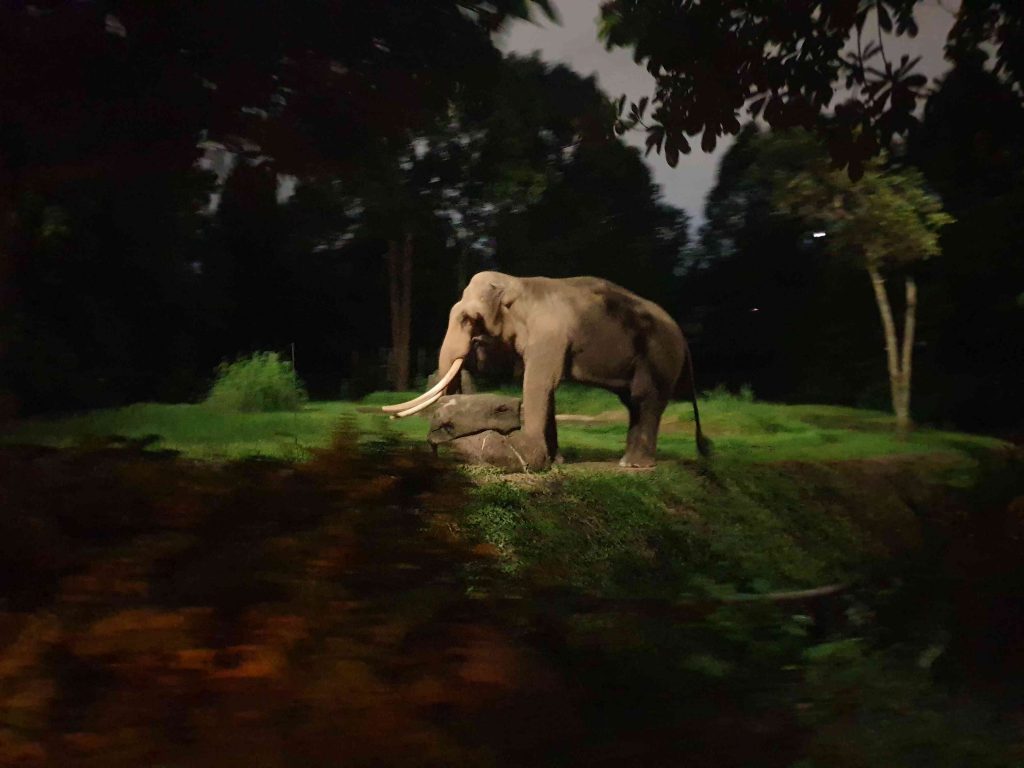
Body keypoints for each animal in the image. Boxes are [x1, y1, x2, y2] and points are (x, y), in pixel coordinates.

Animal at [382, 271, 710, 470]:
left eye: (469, 320)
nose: (435, 449)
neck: (517, 282)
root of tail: (683, 337)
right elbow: (548, 391)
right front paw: (557, 462)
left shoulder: (549, 335)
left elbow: (539, 384)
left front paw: (533, 460)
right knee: (633, 404)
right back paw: (628, 460)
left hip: (659, 356)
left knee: (646, 399)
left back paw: (634, 465)